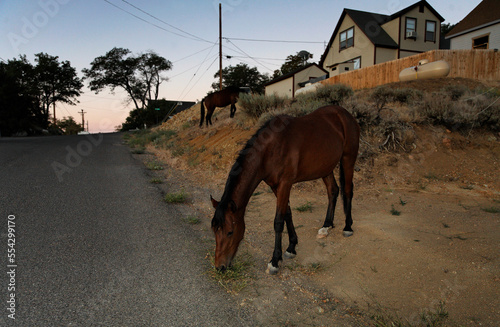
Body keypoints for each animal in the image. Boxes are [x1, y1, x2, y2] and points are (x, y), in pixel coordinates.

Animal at [210, 105, 360, 274]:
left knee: (347, 190)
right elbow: (287, 214)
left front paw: (275, 261)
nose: (220, 266)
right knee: (333, 191)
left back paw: (348, 227)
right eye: (214, 230)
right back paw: (326, 226)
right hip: (326, 168)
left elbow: (278, 221)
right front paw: (291, 247)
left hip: (348, 159)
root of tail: (345, 114)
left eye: (230, 232)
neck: (271, 149)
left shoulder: (285, 184)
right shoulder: (275, 186)